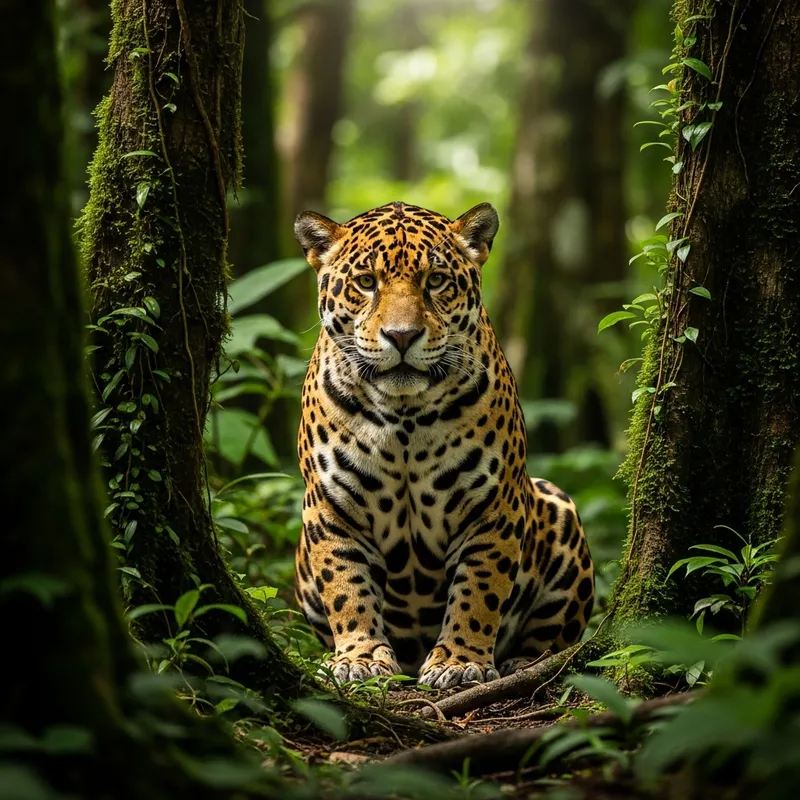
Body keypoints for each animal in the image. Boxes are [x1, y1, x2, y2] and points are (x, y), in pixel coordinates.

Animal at [293, 201, 594, 690]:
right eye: (366, 282)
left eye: (435, 281)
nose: (401, 336)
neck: (404, 415)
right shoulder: (329, 504)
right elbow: (345, 585)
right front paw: (360, 657)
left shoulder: (494, 503)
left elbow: (480, 588)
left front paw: (459, 660)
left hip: (557, 506)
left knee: (550, 636)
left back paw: (525, 664)